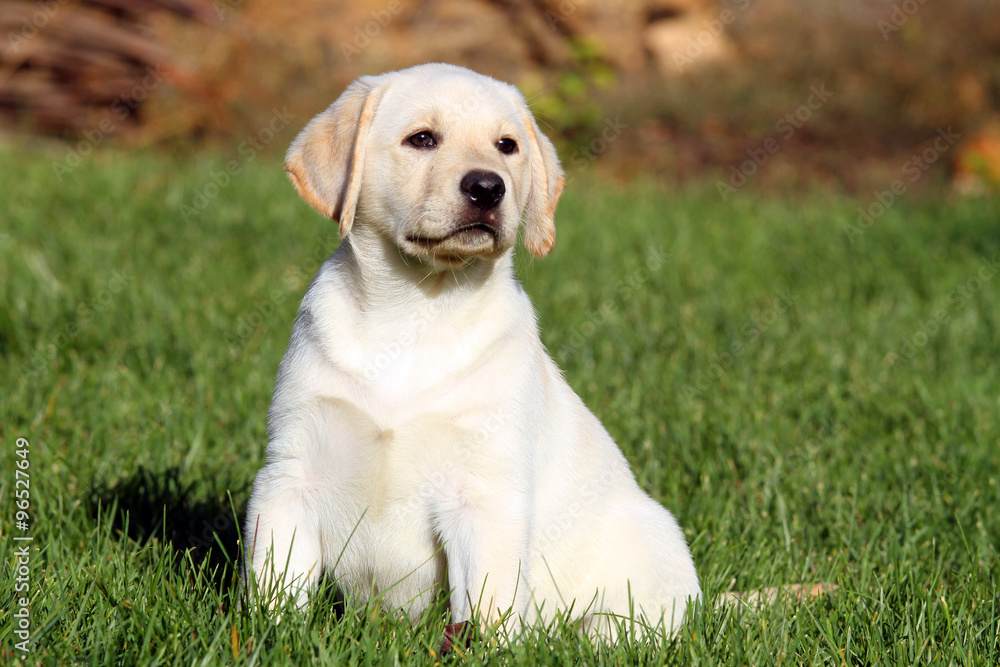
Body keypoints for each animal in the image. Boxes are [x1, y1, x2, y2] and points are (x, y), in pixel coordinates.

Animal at [243, 64, 700, 640]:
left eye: (507, 146)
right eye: (421, 139)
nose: (488, 186)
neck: (416, 310)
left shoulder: (484, 495)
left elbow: (486, 608)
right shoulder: (290, 474)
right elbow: (274, 582)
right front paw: (266, 637)